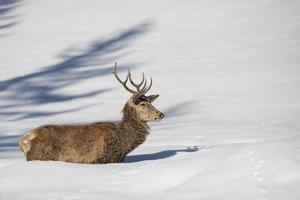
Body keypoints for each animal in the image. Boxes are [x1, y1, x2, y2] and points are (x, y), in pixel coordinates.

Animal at [18, 63, 164, 164]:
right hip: (42, 155)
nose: (161, 114)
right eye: (142, 104)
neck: (123, 144)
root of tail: (23, 140)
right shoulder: (101, 159)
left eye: (150, 102)